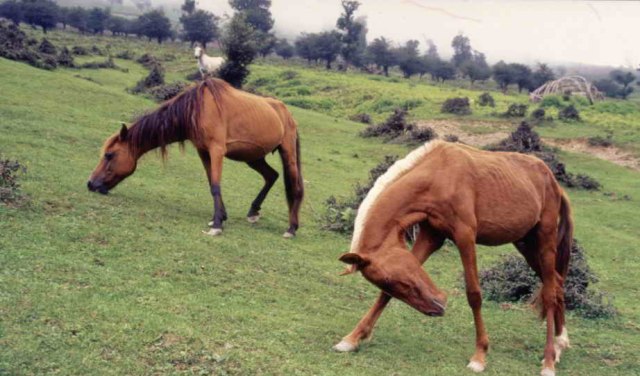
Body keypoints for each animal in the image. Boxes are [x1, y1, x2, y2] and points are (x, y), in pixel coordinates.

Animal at [87, 78, 304, 238]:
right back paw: (253, 212)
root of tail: (287, 113)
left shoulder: (217, 150)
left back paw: (291, 228)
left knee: (296, 187)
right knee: (271, 176)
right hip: (253, 157)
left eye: (109, 155)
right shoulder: (203, 152)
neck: (198, 109)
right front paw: (220, 216)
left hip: (288, 154)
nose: (90, 184)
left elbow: (216, 185)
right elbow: (211, 184)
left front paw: (217, 225)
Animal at [338, 140, 572, 376]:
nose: (437, 307)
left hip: (544, 241)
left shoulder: (465, 235)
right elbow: (384, 297)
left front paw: (479, 355)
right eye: (389, 282)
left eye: (396, 278)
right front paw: (352, 338)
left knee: (550, 293)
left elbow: (474, 294)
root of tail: (554, 183)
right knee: (557, 283)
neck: (438, 176)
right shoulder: (431, 235)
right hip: (526, 244)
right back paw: (560, 344)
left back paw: (549, 360)